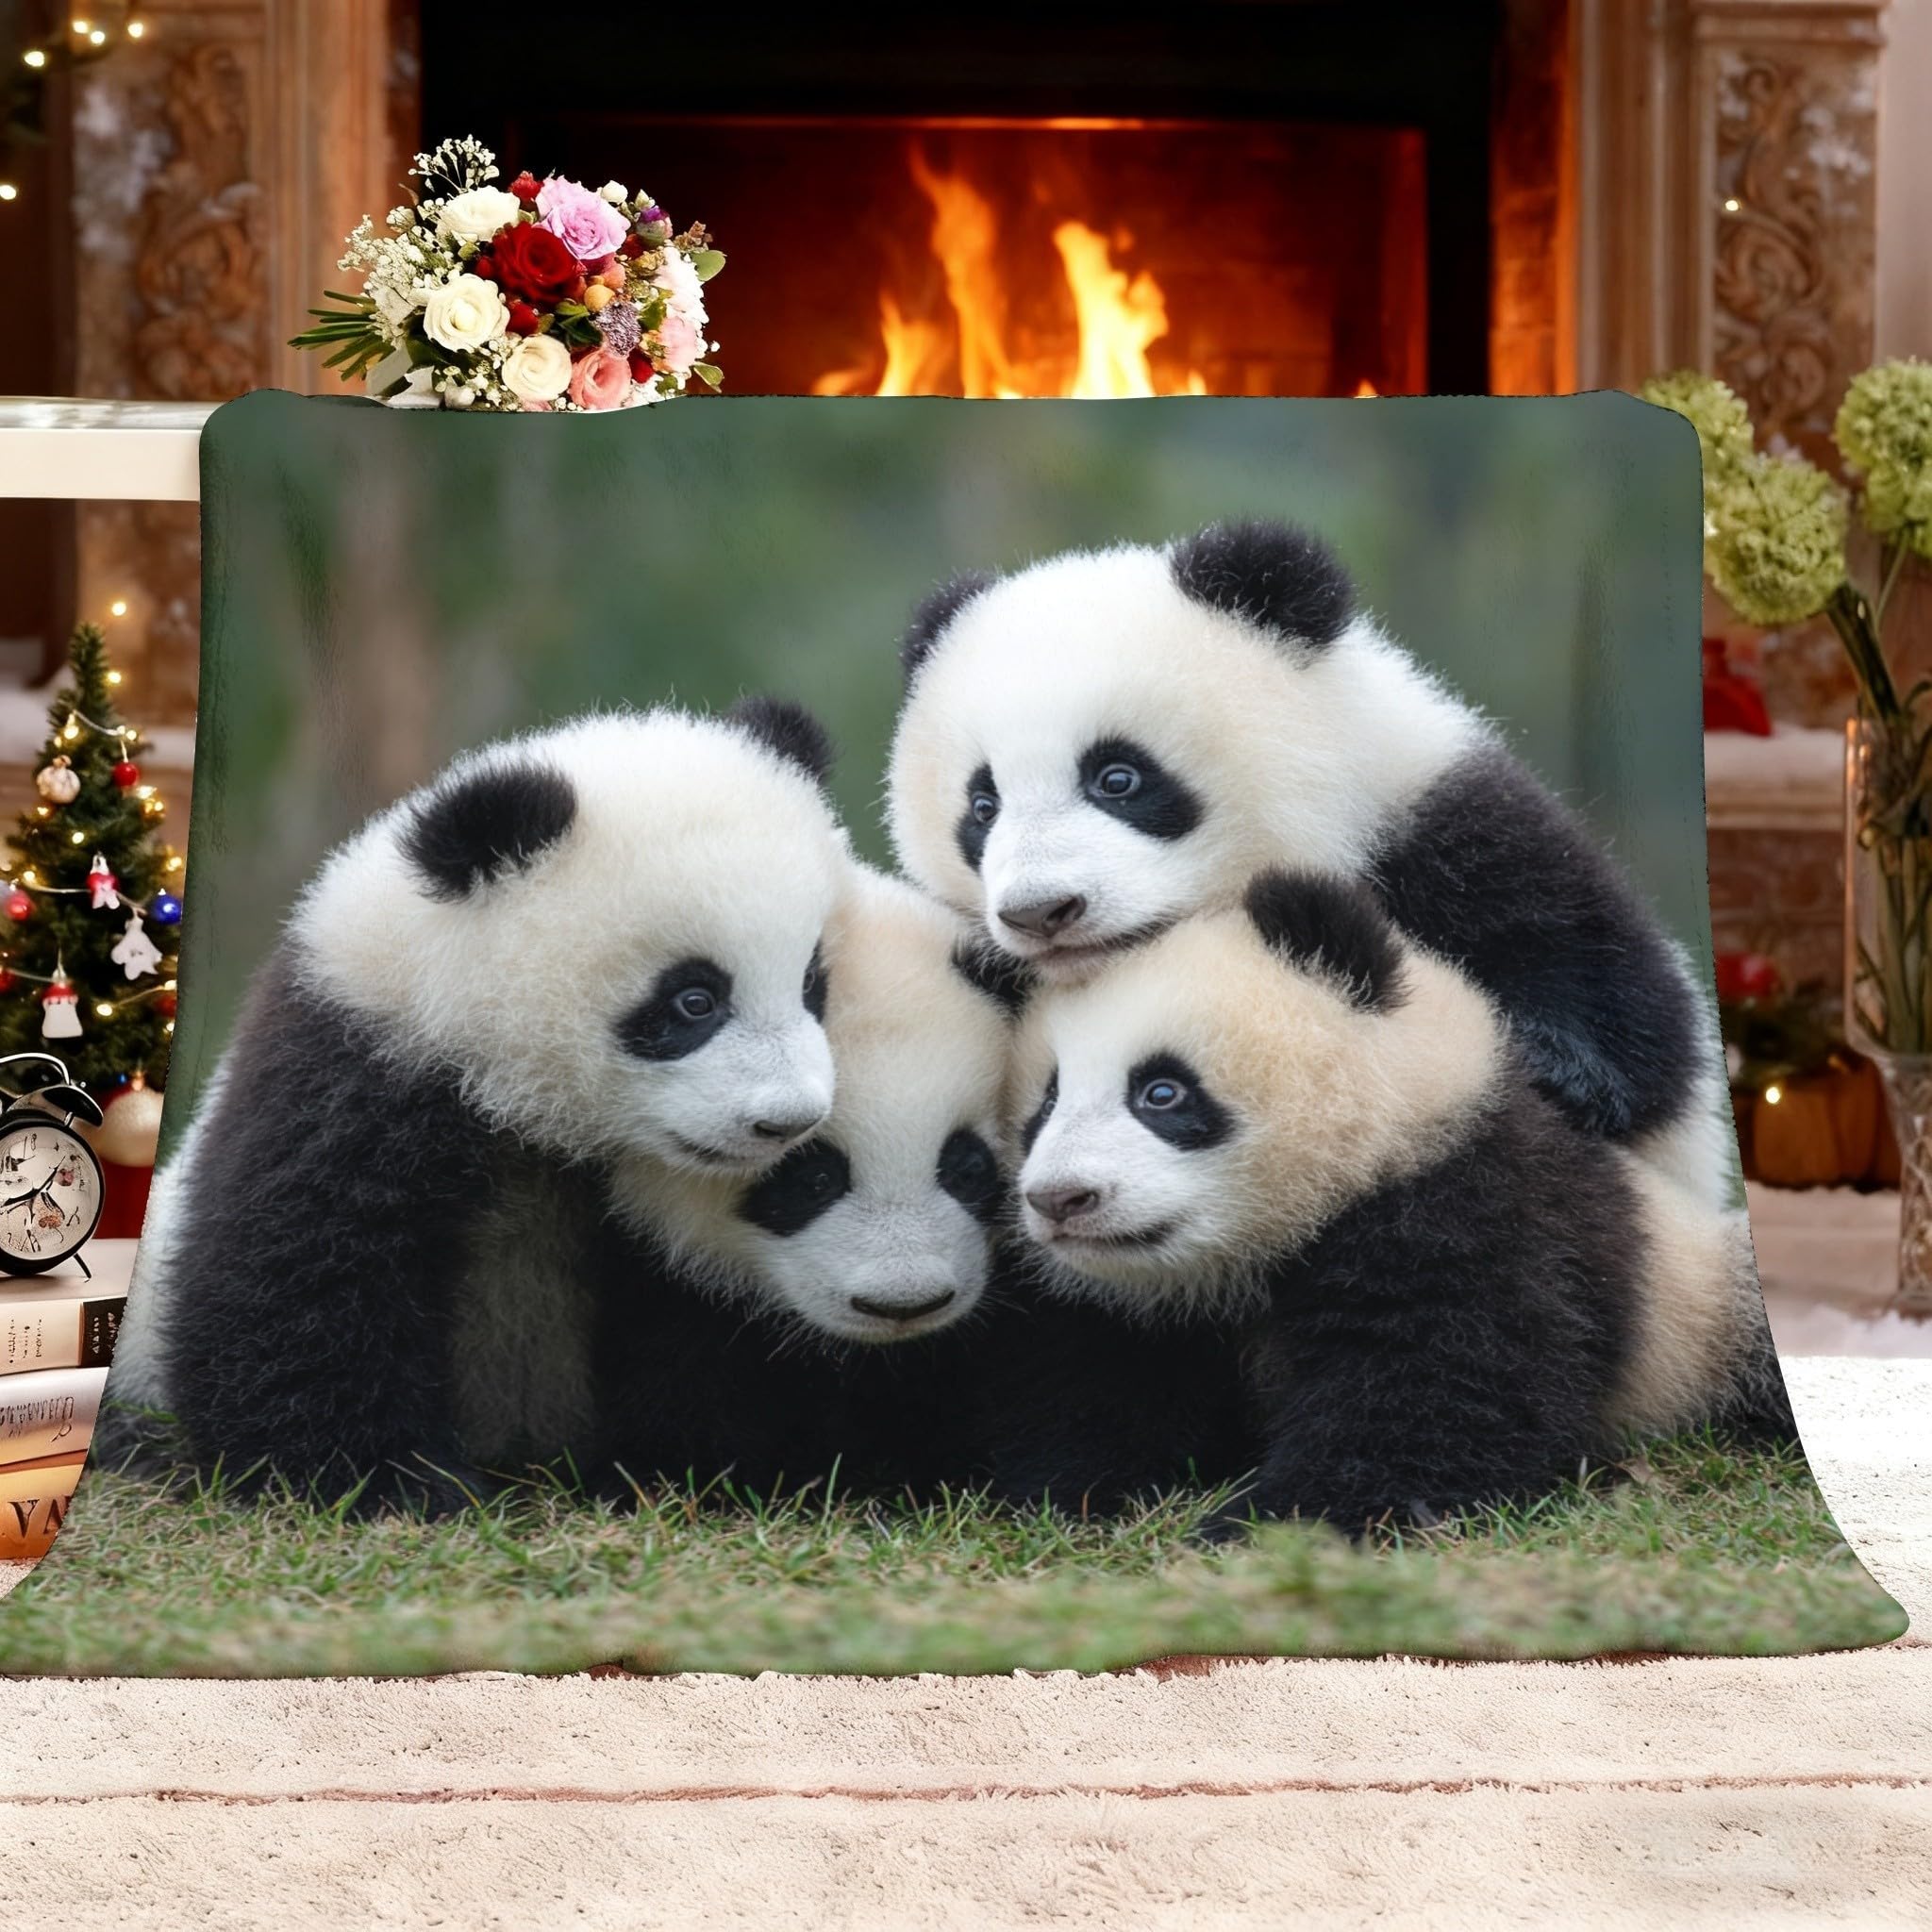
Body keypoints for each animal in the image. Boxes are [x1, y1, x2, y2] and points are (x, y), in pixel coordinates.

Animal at [106, 700, 851, 1513]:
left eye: (812, 983)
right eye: (693, 1000)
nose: (788, 1120)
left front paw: (674, 1471)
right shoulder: (356, 1069)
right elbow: (302, 1280)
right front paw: (390, 1481)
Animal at [885, 519, 1733, 1210]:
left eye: (1117, 777)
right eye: (982, 805)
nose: (1041, 911)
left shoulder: (1446, 838)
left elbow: (1614, 998)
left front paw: (1551, 1067)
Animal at [1001, 868, 1790, 1532]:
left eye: (1162, 1092)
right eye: (1045, 1104)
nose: (1060, 1199)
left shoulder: (1478, 1200)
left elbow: (1438, 1392)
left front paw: (1273, 1521)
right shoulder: (1143, 1311)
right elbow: (1105, 1389)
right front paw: (1083, 1492)